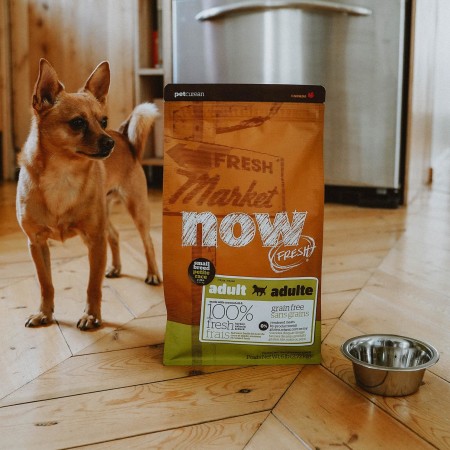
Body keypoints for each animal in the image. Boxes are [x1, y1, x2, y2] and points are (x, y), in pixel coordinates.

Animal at [16, 58, 163, 328]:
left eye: (103, 121)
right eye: (78, 122)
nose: (109, 142)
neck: (63, 176)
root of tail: (124, 137)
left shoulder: (94, 241)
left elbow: (93, 285)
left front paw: (92, 316)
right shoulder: (37, 243)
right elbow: (45, 283)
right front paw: (44, 313)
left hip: (137, 208)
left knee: (147, 242)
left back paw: (152, 274)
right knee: (114, 235)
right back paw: (116, 267)